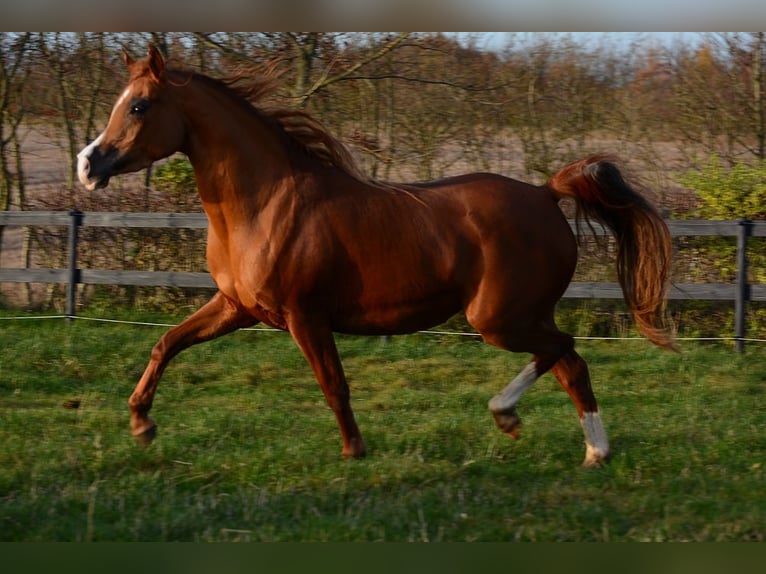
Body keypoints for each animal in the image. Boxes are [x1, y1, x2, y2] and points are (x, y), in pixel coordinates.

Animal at [78, 45, 676, 468]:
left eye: (139, 105)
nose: (88, 165)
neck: (264, 204)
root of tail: (546, 193)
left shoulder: (304, 315)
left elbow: (333, 384)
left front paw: (354, 452)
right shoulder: (236, 307)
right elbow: (166, 344)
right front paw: (142, 425)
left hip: (499, 318)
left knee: (563, 350)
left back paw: (507, 415)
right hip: (520, 316)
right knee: (571, 364)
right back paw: (594, 452)